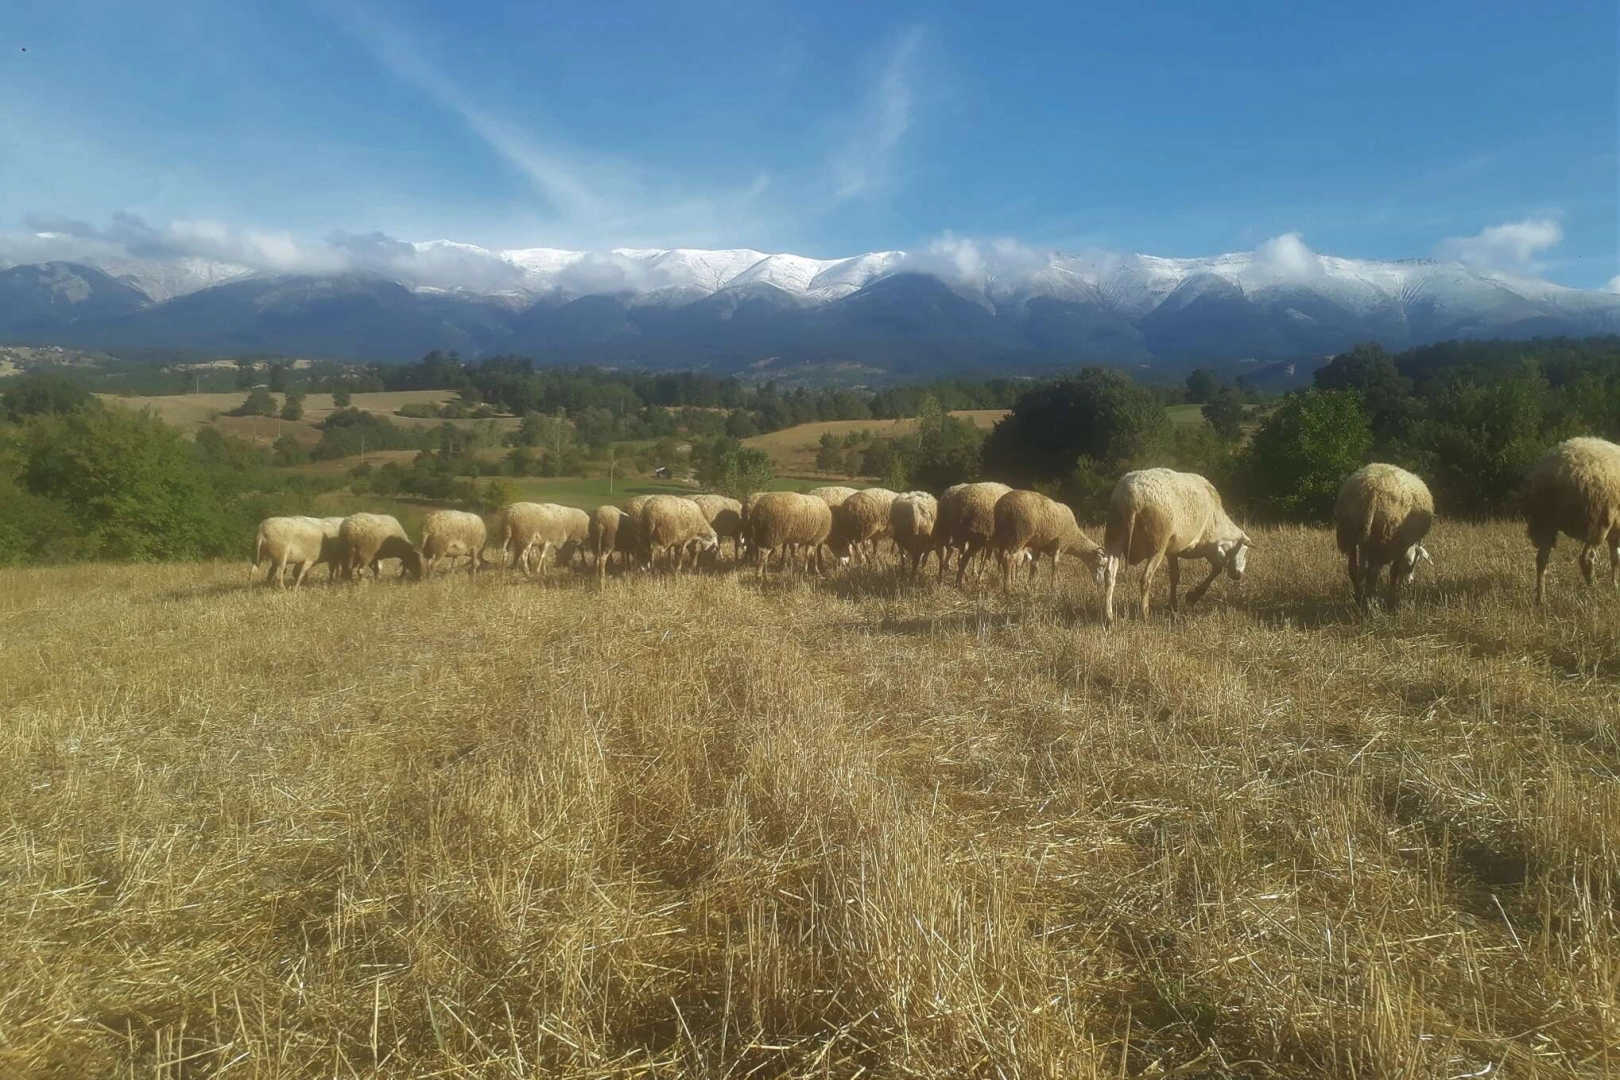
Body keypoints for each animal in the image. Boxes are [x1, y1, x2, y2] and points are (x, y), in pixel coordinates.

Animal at [1101, 469, 1250, 628]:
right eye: (1245, 552)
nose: (1238, 576)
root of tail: (1132, 498)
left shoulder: (1172, 550)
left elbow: (1175, 576)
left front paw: (1173, 606)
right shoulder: (1205, 547)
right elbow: (1217, 568)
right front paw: (1192, 596)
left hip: (1114, 536)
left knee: (1109, 574)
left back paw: (1109, 618)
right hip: (1157, 544)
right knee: (1145, 579)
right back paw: (1144, 616)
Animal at [1334, 466, 1438, 612]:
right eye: (1413, 562)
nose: (1409, 581)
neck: (1410, 549)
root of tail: (1370, 491)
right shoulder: (1401, 545)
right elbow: (1394, 571)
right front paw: (1391, 597)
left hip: (1349, 533)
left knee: (1354, 569)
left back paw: (1359, 598)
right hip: (1382, 538)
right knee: (1371, 573)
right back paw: (1369, 604)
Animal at [1522, 440, 1613, 608]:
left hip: (1544, 520)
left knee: (1541, 559)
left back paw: (1540, 599)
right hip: (1596, 520)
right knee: (1586, 558)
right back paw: (1596, 591)